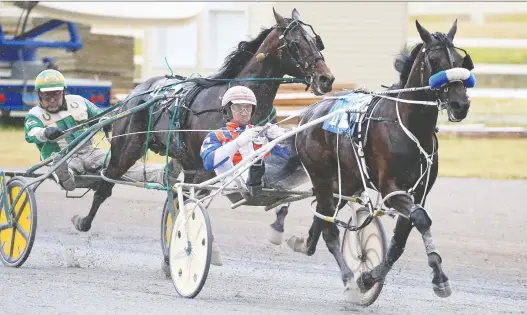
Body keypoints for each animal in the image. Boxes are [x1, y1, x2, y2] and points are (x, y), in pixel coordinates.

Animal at [70, 8, 334, 237]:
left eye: (316, 41)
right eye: (296, 43)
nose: (326, 78)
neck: (237, 102)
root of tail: (138, 91)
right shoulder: (203, 168)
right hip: (127, 148)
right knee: (106, 183)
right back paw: (84, 221)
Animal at [282, 20, 476, 304]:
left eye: (461, 60)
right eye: (434, 61)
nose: (460, 104)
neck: (410, 125)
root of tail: (310, 112)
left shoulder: (419, 191)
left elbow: (400, 240)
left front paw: (370, 277)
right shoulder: (391, 189)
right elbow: (421, 219)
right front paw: (438, 276)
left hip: (346, 182)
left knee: (323, 216)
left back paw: (305, 244)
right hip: (321, 177)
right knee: (330, 230)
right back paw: (348, 279)